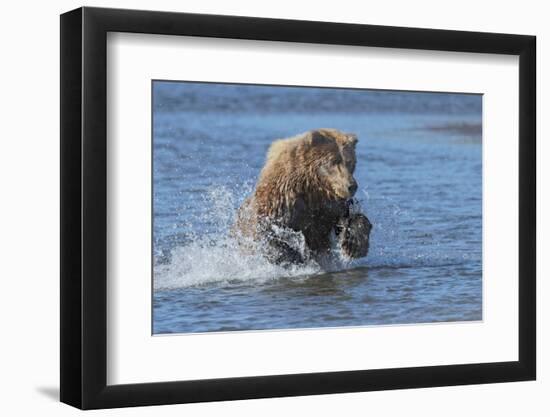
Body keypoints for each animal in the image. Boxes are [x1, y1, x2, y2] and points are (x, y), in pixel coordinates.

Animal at [235, 127, 374, 264]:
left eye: (350, 162)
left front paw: (355, 245)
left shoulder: (328, 208)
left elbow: (348, 220)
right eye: (333, 162)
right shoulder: (281, 203)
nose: (351, 186)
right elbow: (271, 235)